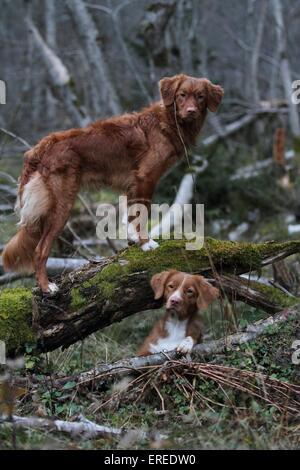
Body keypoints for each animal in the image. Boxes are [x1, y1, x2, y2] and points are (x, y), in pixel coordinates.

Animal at [2, 75, 223, 292]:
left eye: (200, 96)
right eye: (182, 95)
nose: (191, 111)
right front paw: (146, 244)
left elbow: (130, 216)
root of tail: (40, 148)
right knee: (39, 250)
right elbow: (141, 215)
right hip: (61, 206)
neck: (167, 122)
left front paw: (133, 240)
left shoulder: (132, 184)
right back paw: (46, 286)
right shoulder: (146, 178)